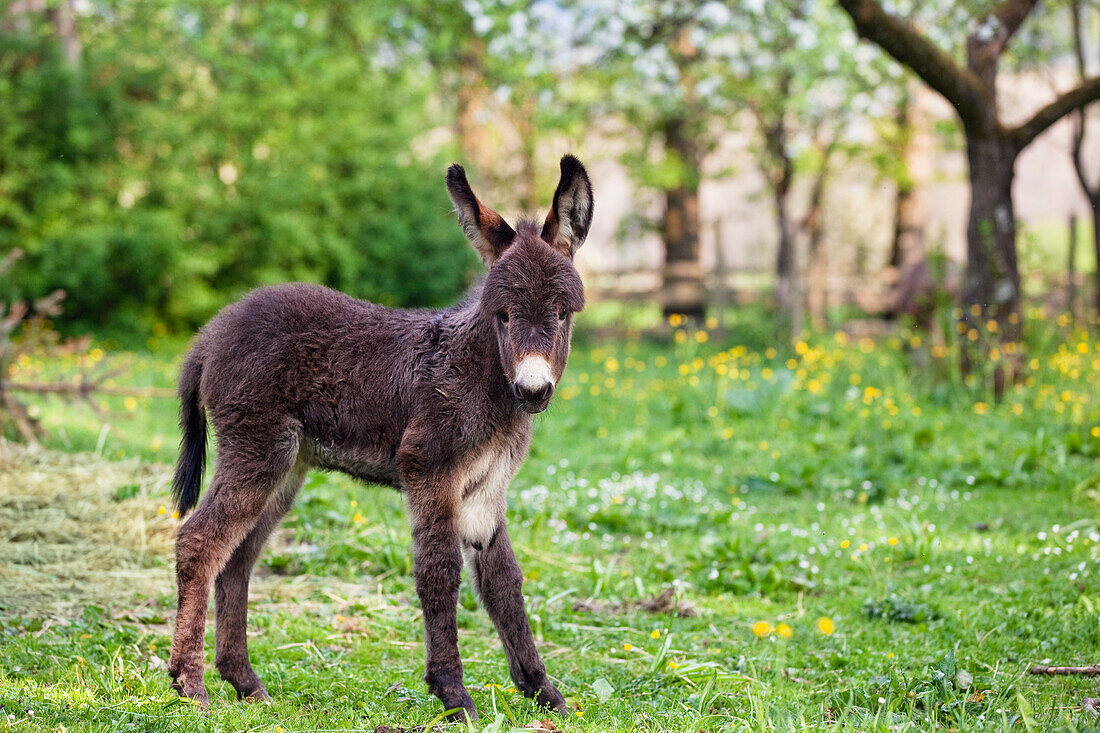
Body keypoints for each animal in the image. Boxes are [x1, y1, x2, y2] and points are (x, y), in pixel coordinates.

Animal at [165, 155, 594, 717]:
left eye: (563, 313)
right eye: (501, 316)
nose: (534, 389)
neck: (485, 378)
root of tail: (210, 334)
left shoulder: (486, 489)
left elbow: (504, 582)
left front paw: (543, 692)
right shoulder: (430, 468)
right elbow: (439, 573)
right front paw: (453, 694)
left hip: (287, 466)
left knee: (236, 558)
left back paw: (245, 682)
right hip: (257, 449)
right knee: (200, 543)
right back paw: (189, 685)